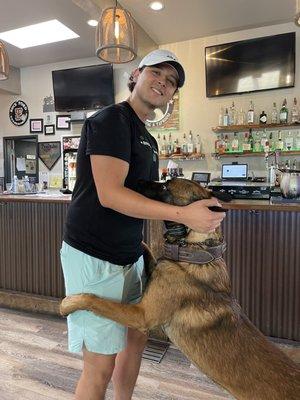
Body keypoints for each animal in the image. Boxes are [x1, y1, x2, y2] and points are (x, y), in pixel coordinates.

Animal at [61, 179, 300, 400]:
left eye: (166, 187)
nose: (135, 181)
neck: (196, 251)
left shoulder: (142, 315)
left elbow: (96, 300)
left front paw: (69, 303)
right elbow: (148, 249)